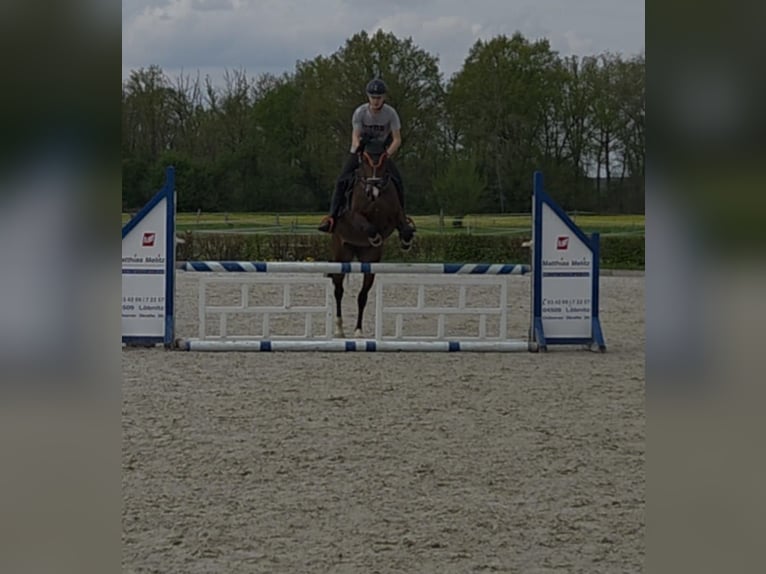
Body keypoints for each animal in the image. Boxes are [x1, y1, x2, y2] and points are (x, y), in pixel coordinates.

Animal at [327, 140, 415, 338]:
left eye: (383, 159)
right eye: (365, 159)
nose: (373, 190)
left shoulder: (396, 215)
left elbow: (403, 227)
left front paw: (405, 241)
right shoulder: (353, 215)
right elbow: (368, 226)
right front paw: (374, 236)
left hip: (370, 261)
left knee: (362, 295)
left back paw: (358, 330)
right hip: (341, 254)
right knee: (338, 289)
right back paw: (339, 328)